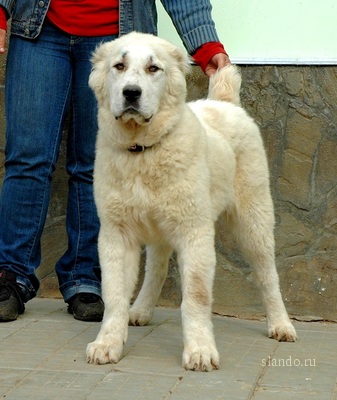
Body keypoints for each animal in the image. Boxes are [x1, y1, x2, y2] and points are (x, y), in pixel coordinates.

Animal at [85, 32, 296, 372]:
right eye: (119, 65)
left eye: (153, 68)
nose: (131, 93)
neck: (143, 151)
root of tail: (223, 103)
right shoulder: (117, 234)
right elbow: (114, 294)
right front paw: (107, 344)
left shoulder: (193, 232)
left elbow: (196, 297)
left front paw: (200, 350)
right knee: (156, 267)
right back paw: (140, 310)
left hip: (254, 220)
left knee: (268, 274)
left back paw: (281, 325)